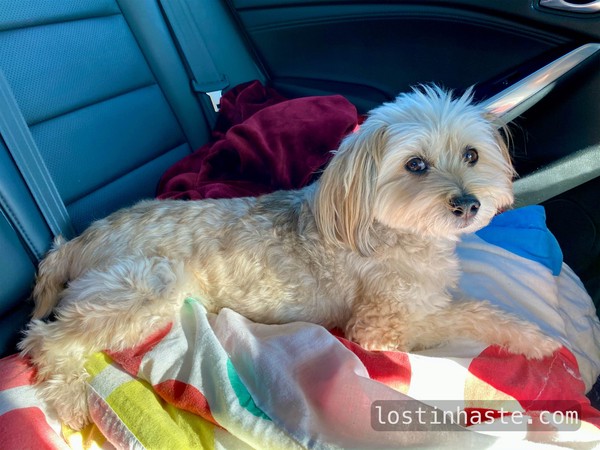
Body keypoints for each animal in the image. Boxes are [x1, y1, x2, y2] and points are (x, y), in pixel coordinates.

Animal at [19, 85, 560, 430]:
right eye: (415, 165)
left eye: (472, 155)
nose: (469, 204)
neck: (388, 229)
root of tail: (77, 241)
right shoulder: (379, 330)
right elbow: (472, 312)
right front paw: (535, 340)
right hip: (148, 287)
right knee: (46, 338)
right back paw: (70, 398)